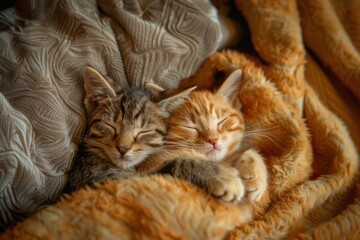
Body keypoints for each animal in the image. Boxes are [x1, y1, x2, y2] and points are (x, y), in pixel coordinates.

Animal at [64, 67, 245, 204]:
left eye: (144, 131)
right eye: (110, 126)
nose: (122, 148)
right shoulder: (101, 181)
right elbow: (176, 163)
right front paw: (222, 176)